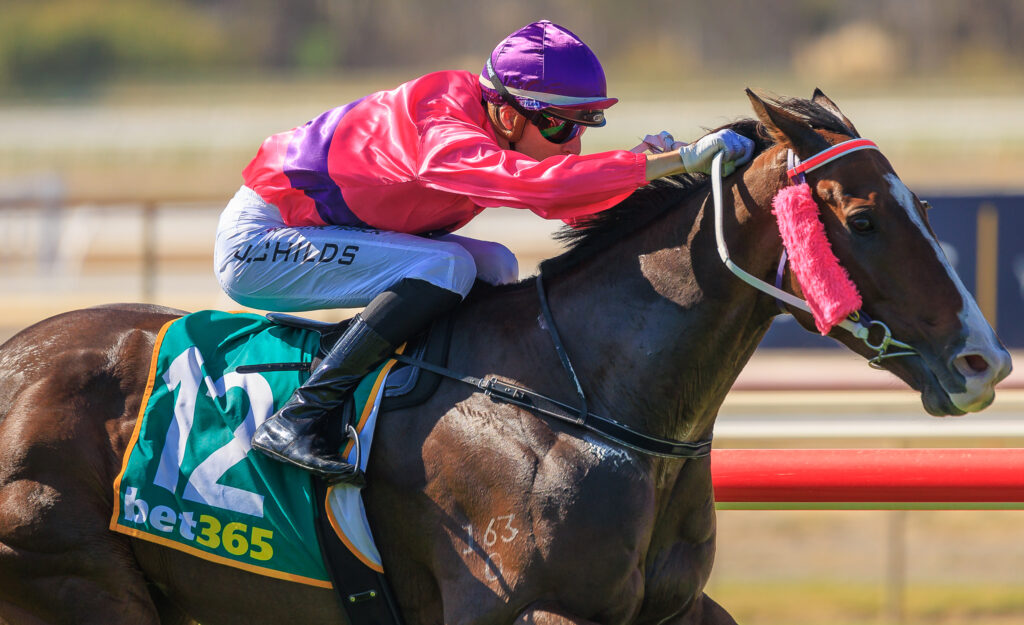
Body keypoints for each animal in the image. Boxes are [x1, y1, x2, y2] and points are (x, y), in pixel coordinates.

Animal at [0, 90, 1012, 625]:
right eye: (863, 217)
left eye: (924, 205)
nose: (984, 363)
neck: (589, 400)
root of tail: (16, 357)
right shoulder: (515, 605)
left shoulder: (672, 606)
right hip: (75, 574)